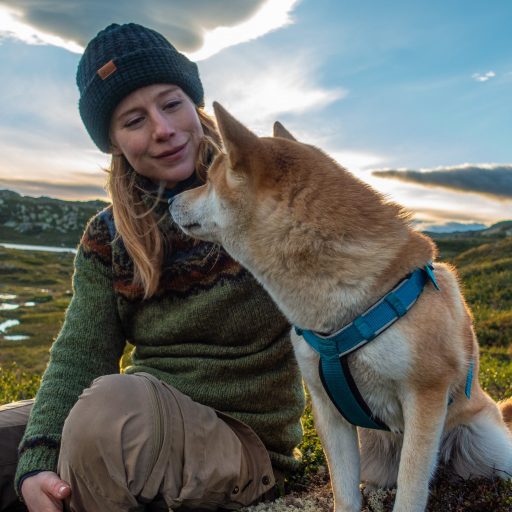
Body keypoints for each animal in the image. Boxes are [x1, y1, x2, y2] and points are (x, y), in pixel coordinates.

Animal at [171, 104, 512, 512]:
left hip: (484, 445)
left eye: (208, 180)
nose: (169, 200)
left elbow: (412, 487)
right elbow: (346, 493)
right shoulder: (327, 409)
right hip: (376, 456)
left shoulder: (425, 395)